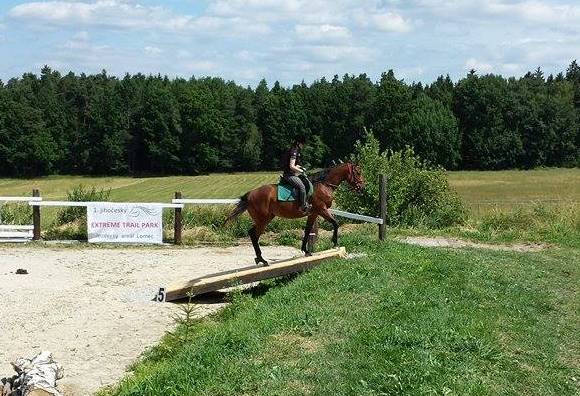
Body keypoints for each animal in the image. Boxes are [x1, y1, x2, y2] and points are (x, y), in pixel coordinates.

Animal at [225, 162, 364, 264]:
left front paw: (306, 251)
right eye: (358, 172)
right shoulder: (322, 209)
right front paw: (335, 242)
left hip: (266, 218)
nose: (362, 187)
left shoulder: (313, 213)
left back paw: (260, 259)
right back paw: (262, 260)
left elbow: (307, 230)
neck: (324, 185)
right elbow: (335, 223)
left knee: (253, 234)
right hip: (263, 220)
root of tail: (249, 195)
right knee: (253, 234)